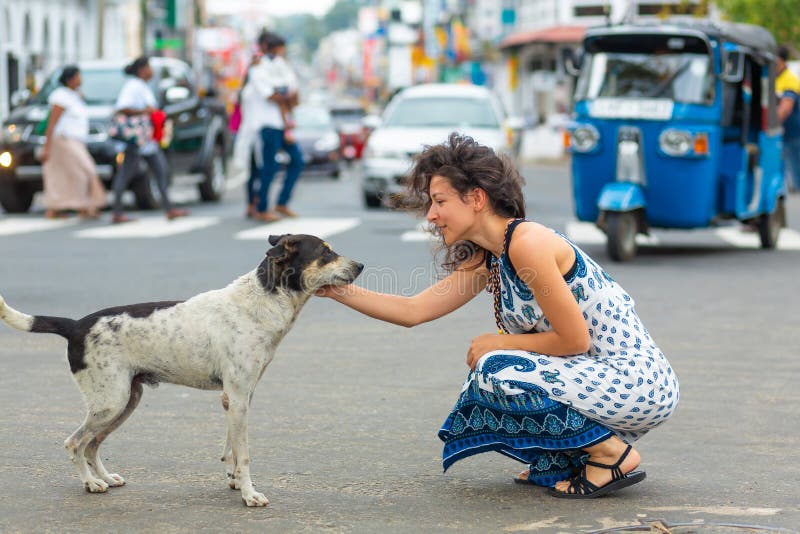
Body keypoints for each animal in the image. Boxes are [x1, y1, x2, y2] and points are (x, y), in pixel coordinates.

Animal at [0, 237, 362, 508]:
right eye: (325, 252)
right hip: (110, 402)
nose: (360, 266)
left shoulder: (238, 398)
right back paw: (91, 484)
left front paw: (234, 481)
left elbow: (231, 448)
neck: (261, 302)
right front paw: (249, 494)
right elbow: (244, 454)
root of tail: (75, 326)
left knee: (92, 445)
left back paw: (105, 478)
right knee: (74, 443)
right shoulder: (238, 399)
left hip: (125, 401)